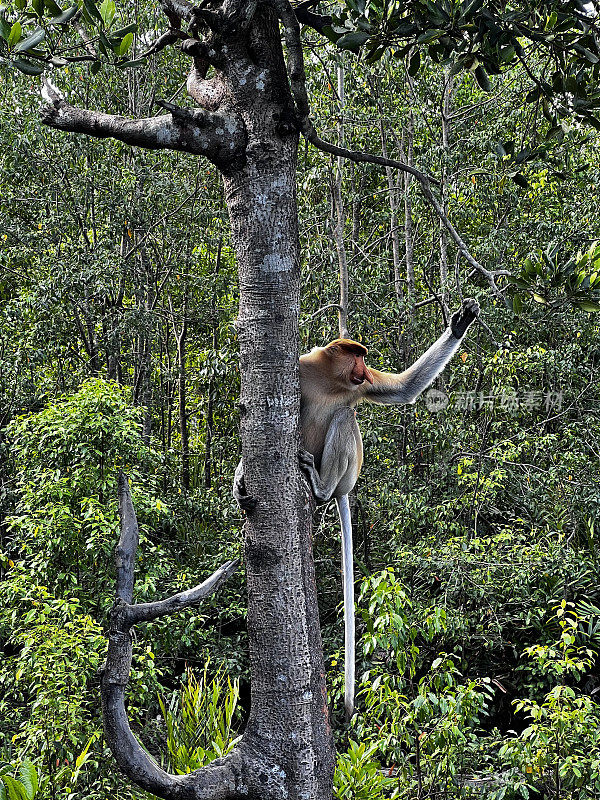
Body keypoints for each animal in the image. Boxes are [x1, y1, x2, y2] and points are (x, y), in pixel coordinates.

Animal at [233, 298, 478, 720]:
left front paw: (460, 324)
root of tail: (343, 487)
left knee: (345, 416)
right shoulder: (301, 368)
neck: (332, 381)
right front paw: (239, 481)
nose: (363, 370)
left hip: (349, 470)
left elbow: (403, 390)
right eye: (356, 356)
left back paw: (321, 485)